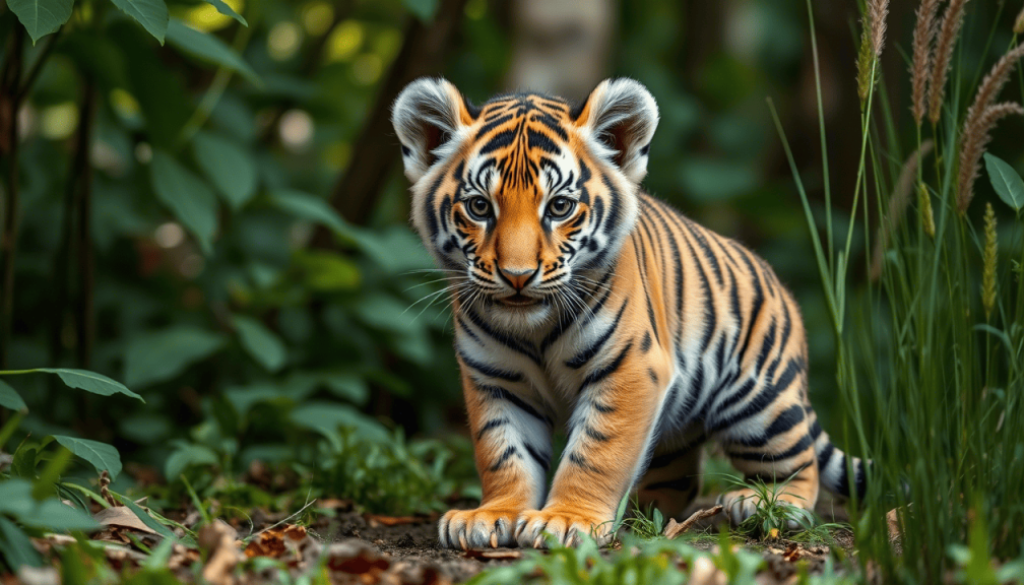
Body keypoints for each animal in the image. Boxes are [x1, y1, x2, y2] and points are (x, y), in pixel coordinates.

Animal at [390, 77, 867, 550]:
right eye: (479, 207)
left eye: (559, 207)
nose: (518, 276)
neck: (534, 330)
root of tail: (776, 282)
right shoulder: (495, 378)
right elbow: (503, 451)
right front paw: (492, 515)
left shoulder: (630, 367)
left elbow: (597, 450)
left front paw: (566, 520)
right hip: (680, 424)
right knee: (679, 477)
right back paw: (643, 515)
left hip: (759, 402)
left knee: (798, 458)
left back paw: (771, 504)